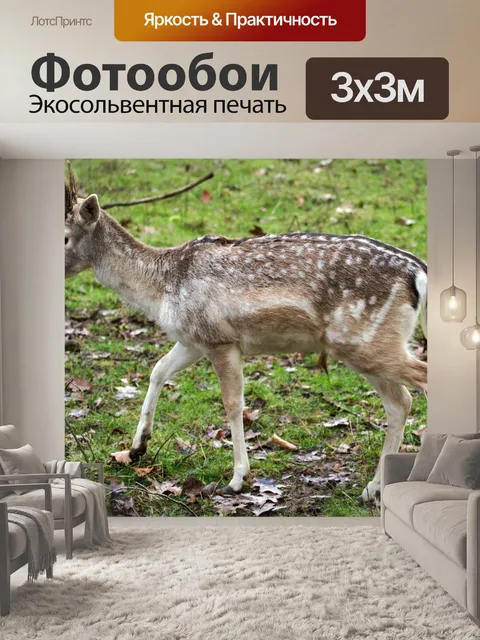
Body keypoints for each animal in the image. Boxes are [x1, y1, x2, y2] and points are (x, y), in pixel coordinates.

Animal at [65, 168, 427, 505]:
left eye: (66, 237)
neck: (162, 289)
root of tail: (419, 272)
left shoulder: (221, 340)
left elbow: (232, 404)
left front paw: (237, 479)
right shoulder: (193, 341)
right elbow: (158, 370)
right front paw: (137, 446)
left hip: (363, 341)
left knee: (418, 382)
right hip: (368, 344)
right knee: (400, 402)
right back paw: (372, 489)